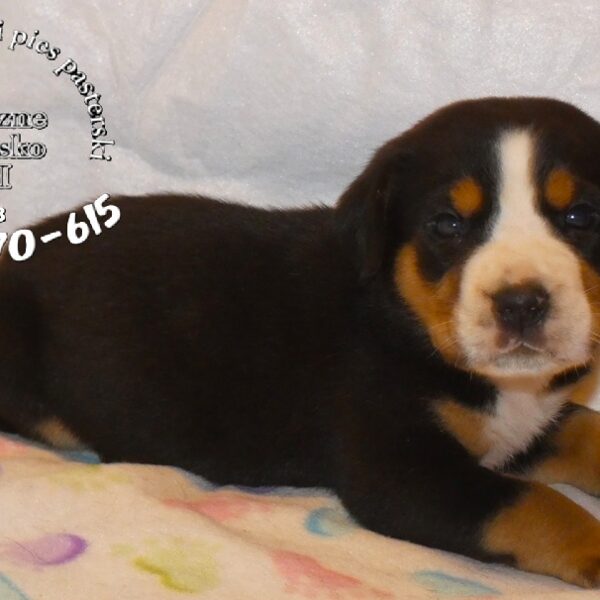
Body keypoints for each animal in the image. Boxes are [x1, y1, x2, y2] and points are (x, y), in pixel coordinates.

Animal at [2, 97, 600, 587]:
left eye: (580, 215)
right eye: (448, 224)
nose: (521, 302)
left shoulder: (527, 427)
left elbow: (583, 429)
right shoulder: (398, 468)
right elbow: (537, 504)